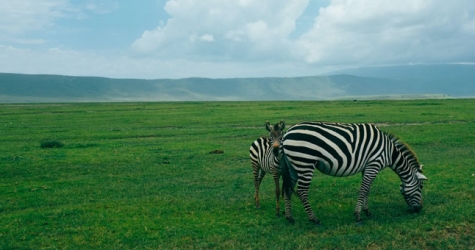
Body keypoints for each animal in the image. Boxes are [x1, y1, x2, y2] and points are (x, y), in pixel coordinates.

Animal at [278, 121, 430, 225]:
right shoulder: (374, 164)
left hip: (293, 166)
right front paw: (358, 216)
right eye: (421, 187)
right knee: (302, 191)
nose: (419, 209)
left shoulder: (367, 167)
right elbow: (363, 190)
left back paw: (289, 217)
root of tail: (286, 133)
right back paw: (314, 219)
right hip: (305, 163)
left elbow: (367, 190)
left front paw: (367, 211)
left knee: (287, 189)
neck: (389, 152)